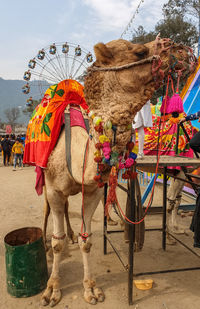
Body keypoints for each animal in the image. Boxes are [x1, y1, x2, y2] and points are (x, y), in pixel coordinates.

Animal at [23, 36, 195, 306]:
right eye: (139, 51)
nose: (182, 50)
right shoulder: (54, 189)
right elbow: (57, 241)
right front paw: (52, 289)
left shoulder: (93, 190)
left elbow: (87, 239)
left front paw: (91, 288)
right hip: (43, 177)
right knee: (48, 211)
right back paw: (45, 244)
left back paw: (70, 235)